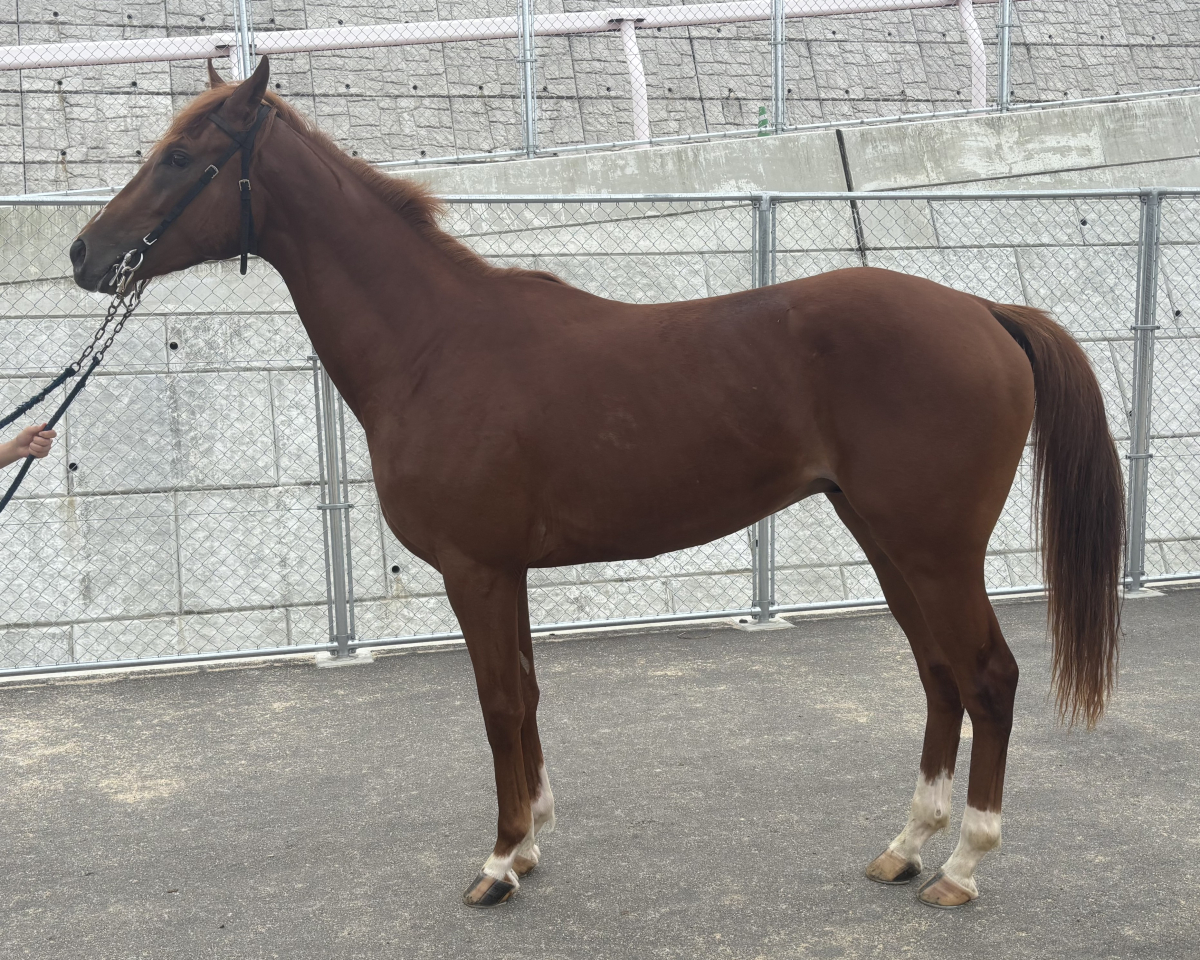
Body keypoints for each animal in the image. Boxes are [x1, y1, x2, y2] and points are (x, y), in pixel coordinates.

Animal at [69, 57, 1124, 909]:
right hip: (885, 539)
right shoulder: (507, 573)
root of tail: (984, 312)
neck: (434, 346)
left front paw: (499, 864)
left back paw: (962, 868)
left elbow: (499, 706)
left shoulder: (476, 570)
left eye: (179, 157)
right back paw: (906, 848)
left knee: (988, 678)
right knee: (939, 677)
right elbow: (529, 697)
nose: (84, 253)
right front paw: (531, 843)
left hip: (935, 548)